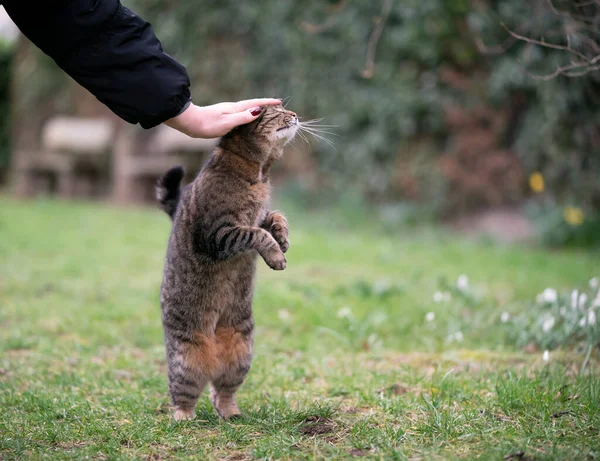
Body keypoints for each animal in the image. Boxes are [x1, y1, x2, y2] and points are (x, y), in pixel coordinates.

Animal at [157, 104, 298, 420]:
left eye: (284, 107)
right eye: (276, 110)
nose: (295, 115)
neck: (259, 173)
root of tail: (213, 350)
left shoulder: (261, 215)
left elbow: (276, 215)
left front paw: (283, 239)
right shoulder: (218, 233)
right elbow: (257, 234)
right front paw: (276, 254)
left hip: (241, 354)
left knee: (220, 391)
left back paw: (231, 412)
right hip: (187, 359)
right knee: (183, 394)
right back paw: (183, 417)